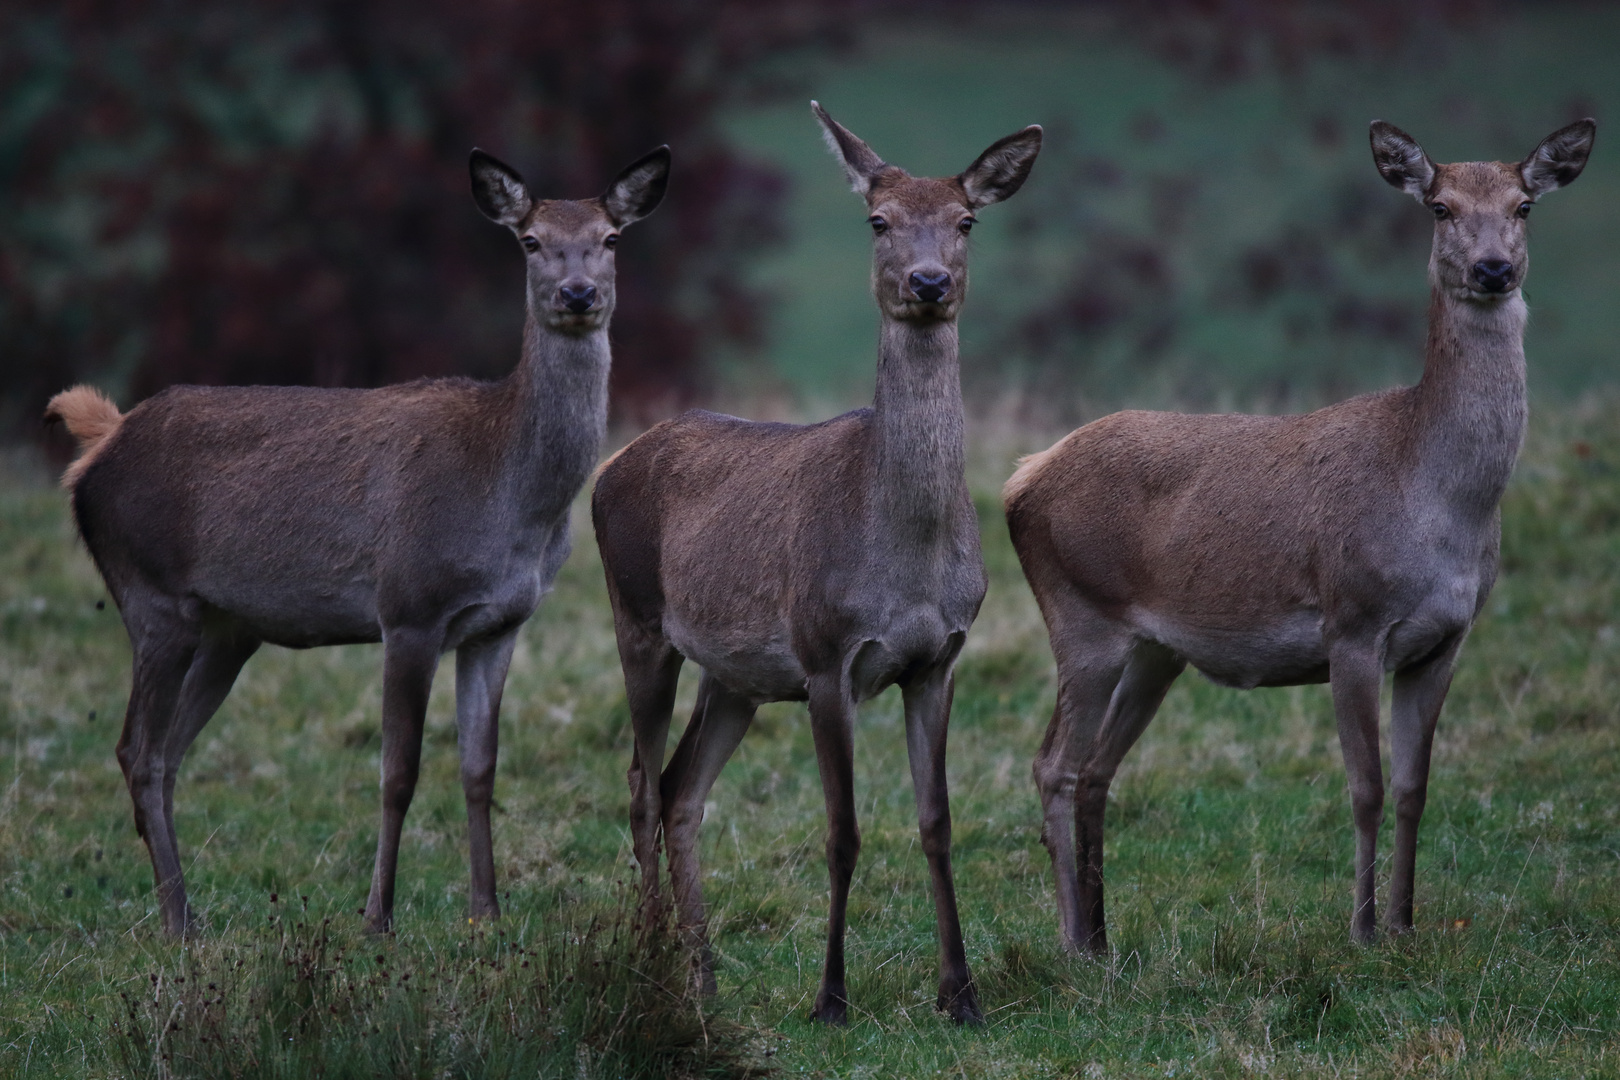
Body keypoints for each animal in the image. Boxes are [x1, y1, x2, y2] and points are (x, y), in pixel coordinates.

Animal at [45, 143, 670, 939]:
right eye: (531, 241)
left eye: (610, 237)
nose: (579, 293)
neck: (511, 502)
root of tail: (100, 442)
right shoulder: (409, 605)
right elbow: (397, 771)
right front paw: (378, 917)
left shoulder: (499, 623)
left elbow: (480, 768)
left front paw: (486, 914)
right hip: (151, 594)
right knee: (138, 749)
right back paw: (179, 922)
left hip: (227, 629)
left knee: (167, 752)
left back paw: (185, 912)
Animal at [592, 103, 1036, 1029]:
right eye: (878, 220)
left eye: (966, 220)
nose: (929, 283)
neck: (905, 559)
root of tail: (611, 466)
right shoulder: (829, 655)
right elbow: (843, 831)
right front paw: (831, 996)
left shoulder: (939, 659)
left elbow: (938, 822)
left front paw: (962, 993)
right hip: (637, 617)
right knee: (642, 782)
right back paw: (652, 965)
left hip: (736, 675)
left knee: (683, 788)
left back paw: (704, 975)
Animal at [1004, 118, 1587, 952]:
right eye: (1439, 206)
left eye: (1525, 205)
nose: (1493, 269)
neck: (1439, 500)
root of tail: (1022, 478)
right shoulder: (1353, 623)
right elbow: (1365, 786)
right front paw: (1363, 930)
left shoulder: (1446, 640)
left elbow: (1415, 786)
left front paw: (1407, 924)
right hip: (1081, 613)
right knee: (1052, 763)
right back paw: (1070, 942)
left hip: (1154, 652)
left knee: (1096, 769)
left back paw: (1103, 935)